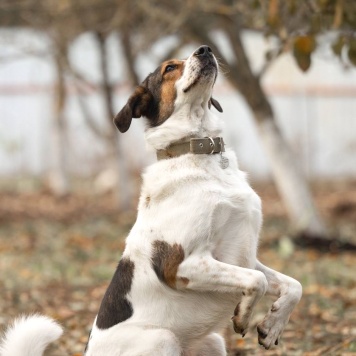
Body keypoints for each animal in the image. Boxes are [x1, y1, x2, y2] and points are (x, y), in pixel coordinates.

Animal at [0, 45, 302, 356]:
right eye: (169, 68)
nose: (205, 49)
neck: (198, 152)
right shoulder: (181, 266)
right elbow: (258, 280)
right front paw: (244, 314)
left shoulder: (245, 257)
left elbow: (293, 285)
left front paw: (272, 326)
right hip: (162, 338)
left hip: (212, 342)